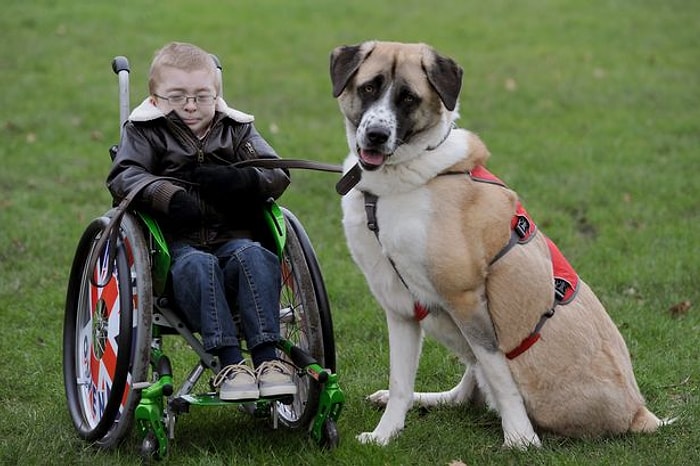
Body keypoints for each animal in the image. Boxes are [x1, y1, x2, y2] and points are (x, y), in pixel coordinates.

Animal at [330, 41, 664, 450]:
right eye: (368, 87)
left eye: (408, 98)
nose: (376, 134)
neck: (398, 182)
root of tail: (639, 413)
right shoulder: (401, 308)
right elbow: (400, 383)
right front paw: (384, 435)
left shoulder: (466, 300)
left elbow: (501, 377)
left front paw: (520, 438)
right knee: (465, 392)